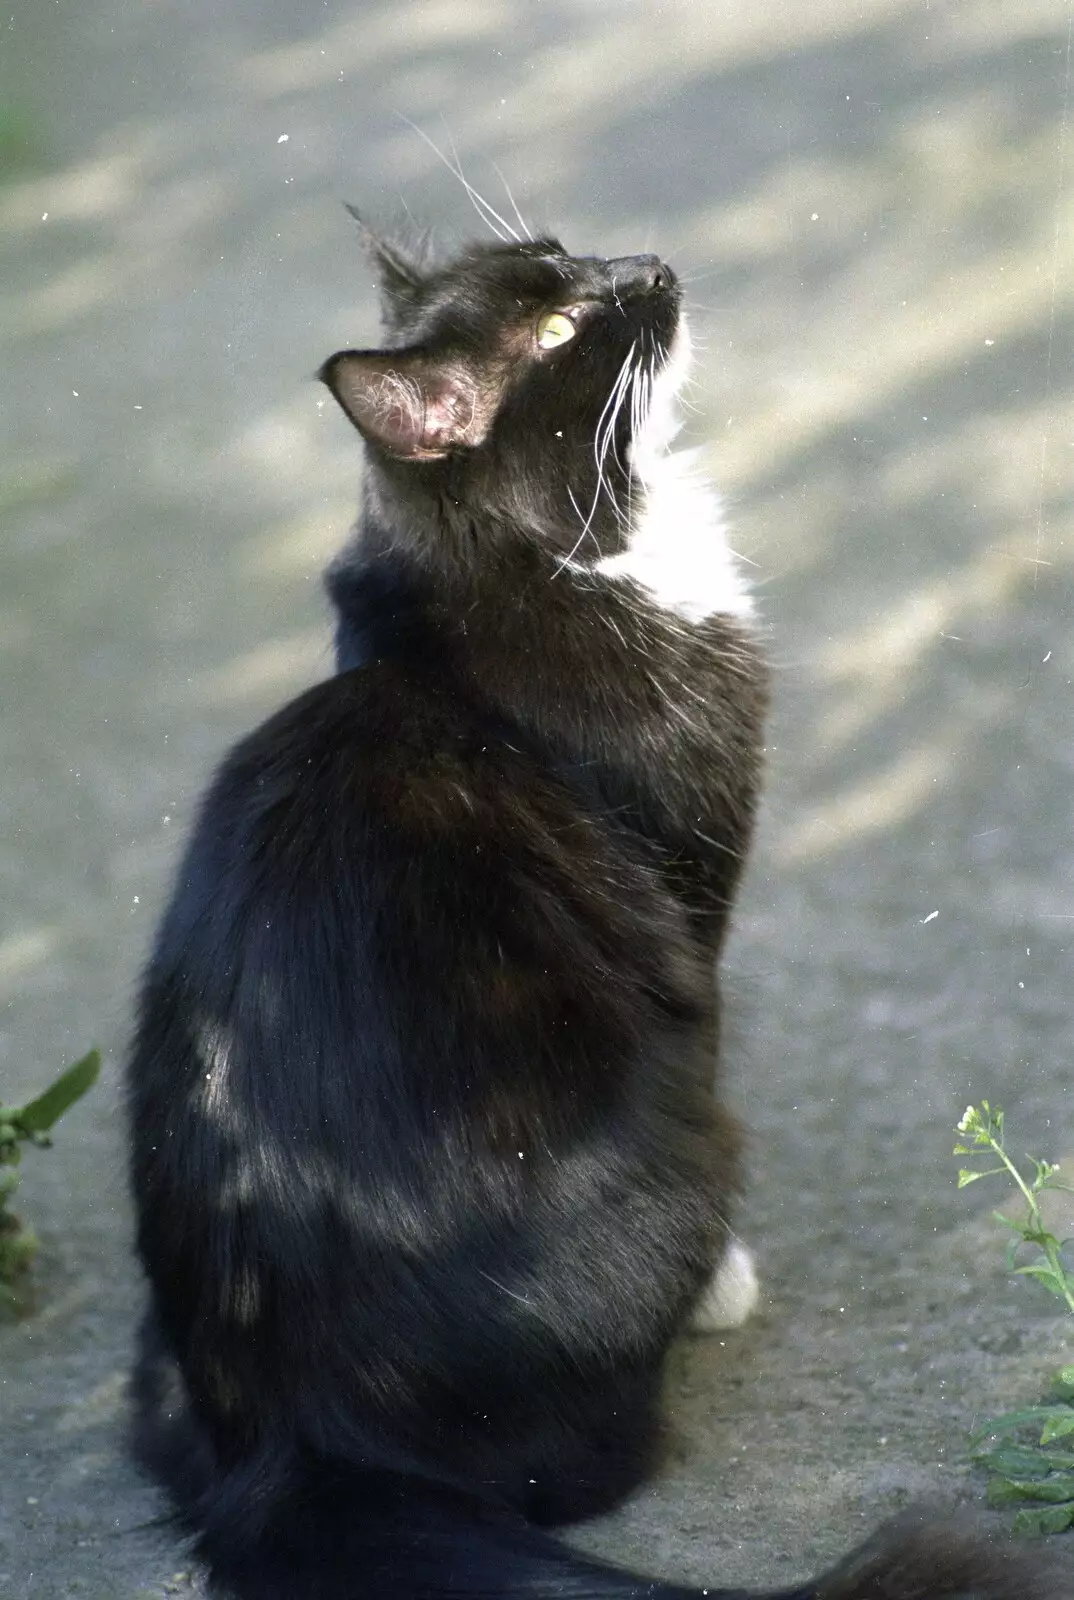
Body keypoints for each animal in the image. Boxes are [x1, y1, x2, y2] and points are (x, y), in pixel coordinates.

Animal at [126, 219, 1069, 1593]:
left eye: (561, 252)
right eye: (562, 329)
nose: (650, 267)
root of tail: (290, 1440)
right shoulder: (688, 909)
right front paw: (728, 1286)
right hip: (665, 1130)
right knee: (589, 1468)